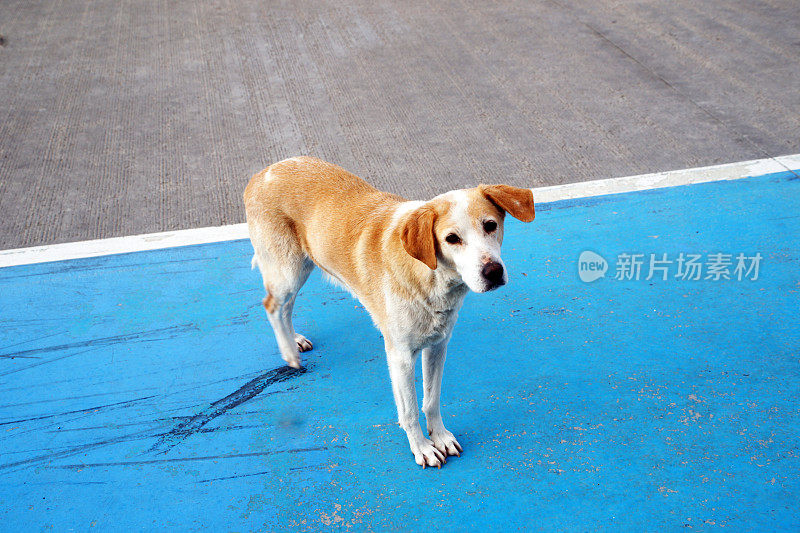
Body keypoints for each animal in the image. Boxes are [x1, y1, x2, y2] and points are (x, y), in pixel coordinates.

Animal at [241, 156, 536, 468]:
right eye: (452, 239)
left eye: (490, 225)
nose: (493, 272)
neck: (431, 277)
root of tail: (264, 172)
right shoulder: (400, 356)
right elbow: (409, 411)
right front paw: (422, 448)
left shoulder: (438, 346)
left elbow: (432, 400)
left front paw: (440, 436)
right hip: (287, 269)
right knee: (272, 305)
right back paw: (289, 354)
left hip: (303, 265)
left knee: (286, 306)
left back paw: (295, 341)